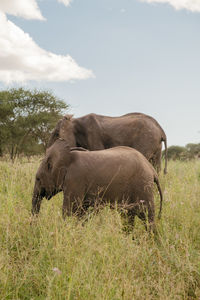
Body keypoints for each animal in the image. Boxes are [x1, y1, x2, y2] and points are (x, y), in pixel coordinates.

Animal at [31, 139, 162, 231]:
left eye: (38, 179)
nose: (34, 227)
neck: (66, 156)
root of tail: (151, 169)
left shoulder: (75, 179)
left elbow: (70, 211)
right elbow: (80, 211)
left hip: (142, 185)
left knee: (147, 216)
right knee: (127, 217)